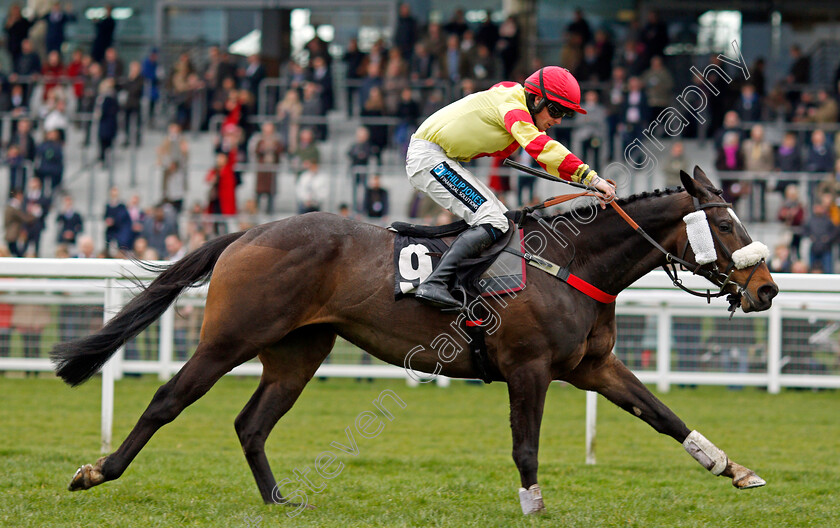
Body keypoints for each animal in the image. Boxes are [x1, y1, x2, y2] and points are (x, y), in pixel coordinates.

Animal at [52, 167, 780, 512]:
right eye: (728, 225)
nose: (768, 289)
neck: (570, 261)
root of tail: (250, 231)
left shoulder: (592, 366)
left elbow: (664, 415)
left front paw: (734, 468)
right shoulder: (530, 368)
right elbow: (524, 446)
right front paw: (533, 504)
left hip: (298, 352)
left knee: (251, 423)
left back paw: (279, 499)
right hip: (228, 338)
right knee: (167, 402)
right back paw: (96, 471)